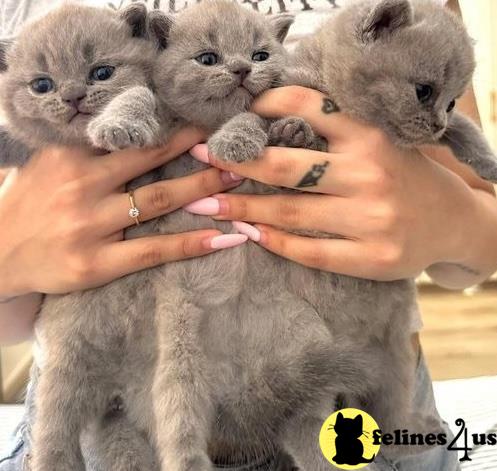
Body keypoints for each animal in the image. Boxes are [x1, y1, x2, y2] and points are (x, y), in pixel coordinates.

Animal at [284, 0, 496, 183]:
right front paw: (296, 136)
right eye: (423, 91)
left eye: (451, 104)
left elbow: (466, 128)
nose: (439, 126)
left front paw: (490, 164)